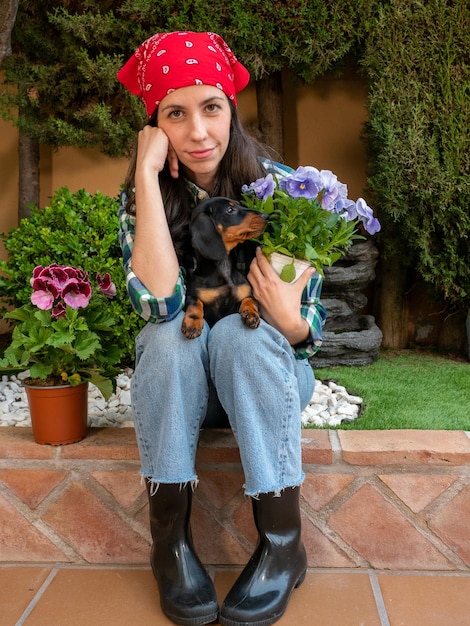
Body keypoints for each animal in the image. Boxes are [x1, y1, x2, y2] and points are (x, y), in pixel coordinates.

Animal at [181, 197, 266, 338]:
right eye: (230, 210)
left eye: (239, 204)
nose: (266, 216)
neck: (224, 267)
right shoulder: (192, 293)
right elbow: (195, 303)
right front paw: (192, 324)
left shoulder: (247, 292)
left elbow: (250, 300)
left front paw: (251, 314)